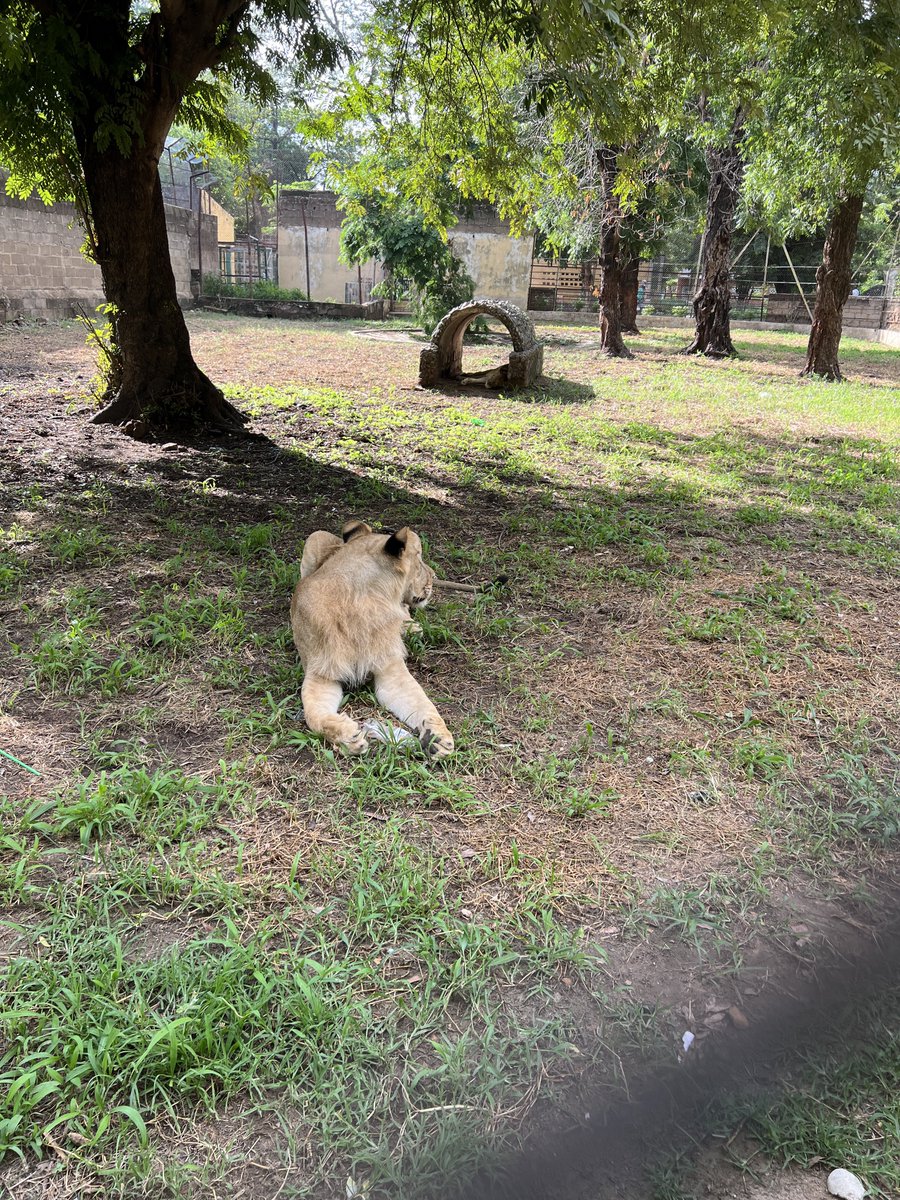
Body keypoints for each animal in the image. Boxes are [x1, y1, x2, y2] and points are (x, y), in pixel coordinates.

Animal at [290, 520, 455, 760]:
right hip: (315, 537)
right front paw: (347, 736)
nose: (433, 575)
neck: (359, 601)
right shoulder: (321, 674)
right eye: (419, 557)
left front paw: (437, 736)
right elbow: (314, 715)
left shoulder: (391, 670)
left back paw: (410, 628)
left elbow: (424, 703)